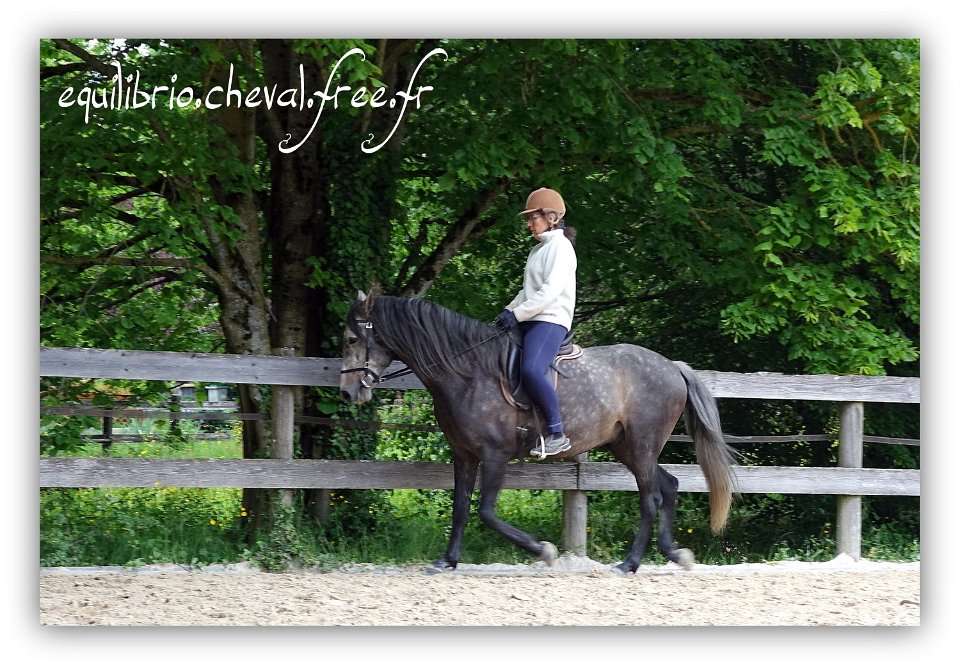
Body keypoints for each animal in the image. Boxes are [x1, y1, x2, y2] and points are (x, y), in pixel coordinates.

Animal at [342, 292, 740, 576]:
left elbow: (486, 511)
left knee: (651, 499)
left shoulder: (494, 454)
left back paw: (629, 564)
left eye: (351, 339)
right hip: (626, 446)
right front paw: (447, 560)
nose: (348, 392)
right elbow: (460, 508)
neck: (467, 372)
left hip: (642, 446)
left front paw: (544, 551)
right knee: (669, 487)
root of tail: (672, 366)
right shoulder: (465, 454)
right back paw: (675, 554)